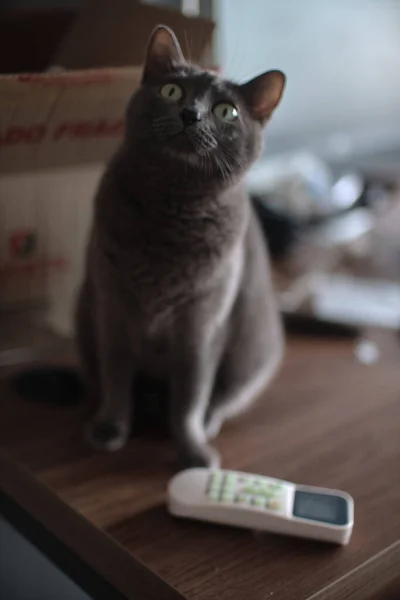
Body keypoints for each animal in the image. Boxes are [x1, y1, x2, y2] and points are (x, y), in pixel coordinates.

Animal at [76, 24, 284, 468]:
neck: (172, 207)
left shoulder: (202, 325)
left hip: (253, 351)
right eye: (171, 91)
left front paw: (192, 451)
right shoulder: (113, 309)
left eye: (227, 111)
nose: (191, 114)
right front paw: (109, 429)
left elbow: (190, 397)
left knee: (220, 400)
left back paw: (206, 426)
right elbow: (117, 378)